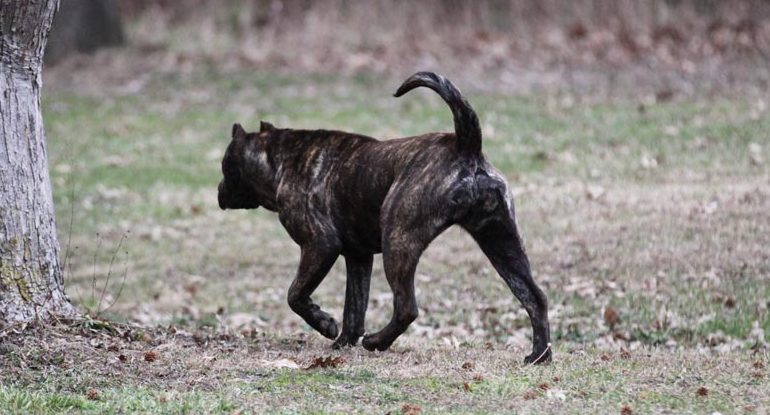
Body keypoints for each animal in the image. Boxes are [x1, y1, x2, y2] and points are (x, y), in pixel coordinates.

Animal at [219, 71, 548, 364]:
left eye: (225, 166)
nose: (219, 190)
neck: (281, 157)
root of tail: (466, 145)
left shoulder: (320, 245)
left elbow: (296, 294)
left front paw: (325, 324)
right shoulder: (358, 258)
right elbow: (354, 308)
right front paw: (342, 343)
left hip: (398, 241)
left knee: (406, 308)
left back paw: (377, 341)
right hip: (502, 245)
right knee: (535, 297)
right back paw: (539, 356)